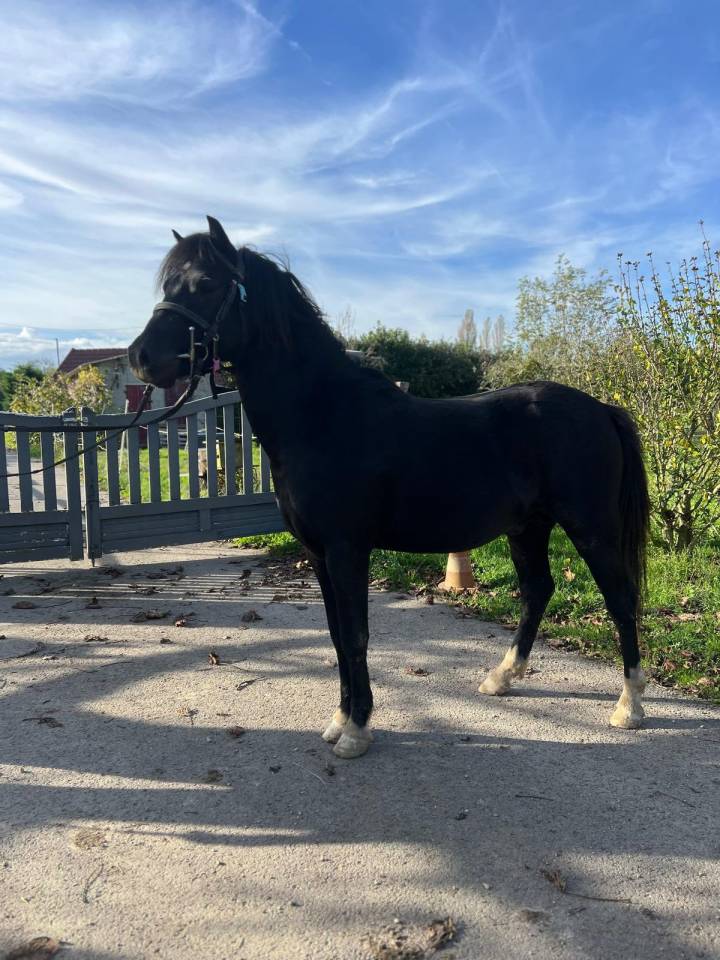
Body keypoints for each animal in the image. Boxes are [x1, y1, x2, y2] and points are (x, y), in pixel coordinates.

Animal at [129, 216, 651, 760]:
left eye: (206, 283)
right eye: (170, 284)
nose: (140, 357)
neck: (323, 416)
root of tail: (601, 409)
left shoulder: (347, 550)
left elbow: (356, 636)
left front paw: (357, 731)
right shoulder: (318, 555)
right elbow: (337, 637)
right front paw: (340, 720)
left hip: (590, 528)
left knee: (620, 598)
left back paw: (629, 707)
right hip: (528, 527)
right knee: (538, 590)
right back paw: (501, 678)